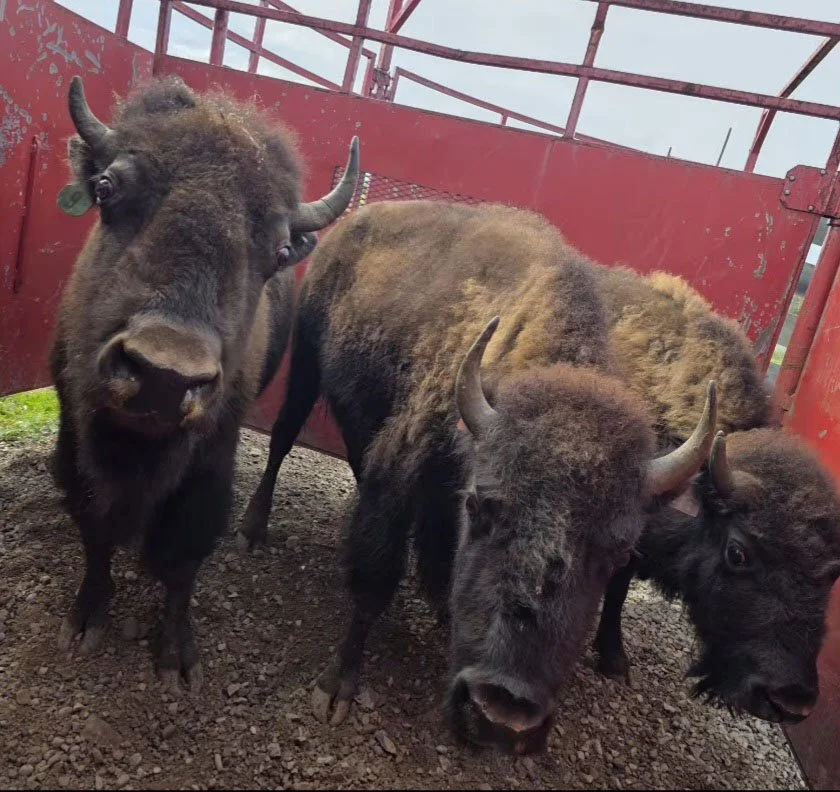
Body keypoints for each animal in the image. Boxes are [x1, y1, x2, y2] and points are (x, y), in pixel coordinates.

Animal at [50, 75, 359, 692]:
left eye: (279, 249)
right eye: (106, 188)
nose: (164, 377)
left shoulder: (212, 455)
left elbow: (184, 556)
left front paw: (175, 657)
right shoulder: (76, 434)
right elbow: (94, 527)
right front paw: (85, 621)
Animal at [239, 200, 715, 752]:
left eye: (618, 552)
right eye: (482, 506)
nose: (504, 711)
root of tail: (358, 218)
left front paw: (443, 607)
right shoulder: (402, 471)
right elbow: (374, 576)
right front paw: (337, 689)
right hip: (306, 363)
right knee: (283, 436)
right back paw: (252, 529)